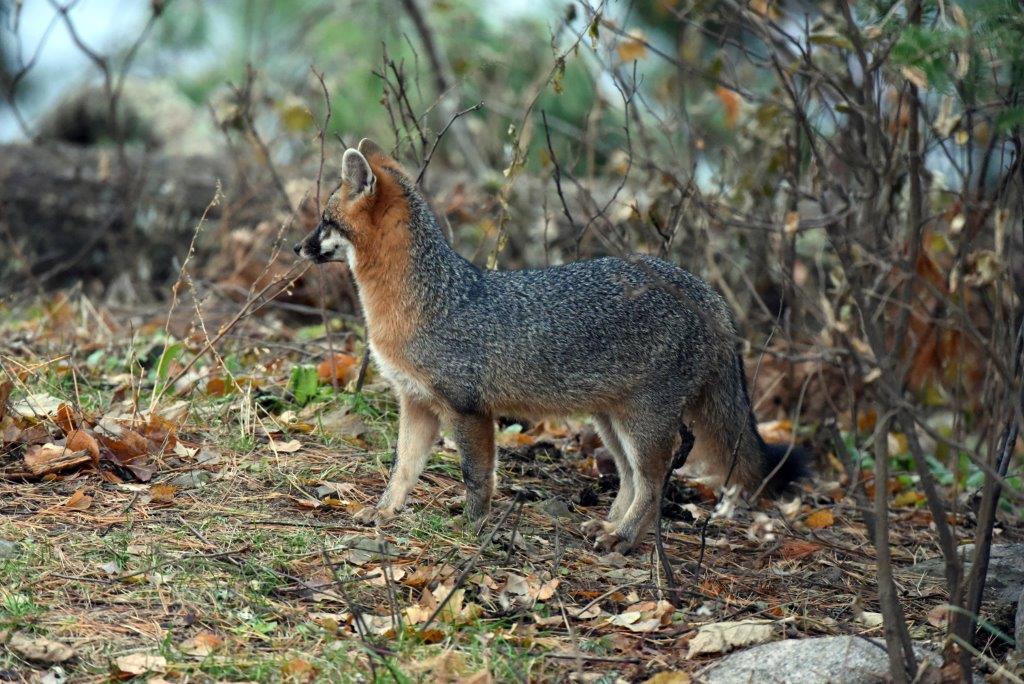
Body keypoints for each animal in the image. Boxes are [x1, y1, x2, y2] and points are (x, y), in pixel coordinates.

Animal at [293, 138, 808, 554]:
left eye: (324, 221)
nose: (298, 248)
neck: (426, 300)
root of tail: (706, 291)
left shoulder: (467, 409)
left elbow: (477, 477)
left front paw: (471, 527)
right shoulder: (415, 403)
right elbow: (402, 470)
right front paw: (384, 512)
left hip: (642, 421)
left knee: (655, 479)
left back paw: (625, 537)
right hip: (610, 421)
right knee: (630, 477)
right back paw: (611, 525)